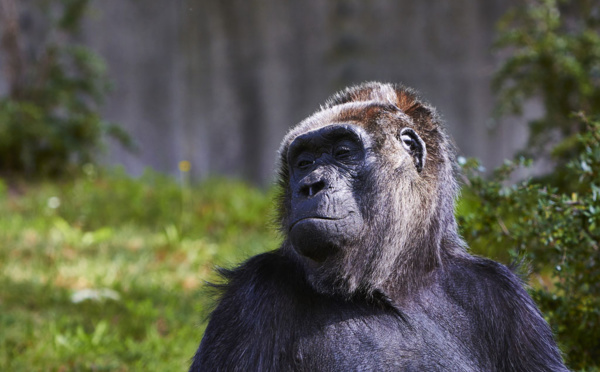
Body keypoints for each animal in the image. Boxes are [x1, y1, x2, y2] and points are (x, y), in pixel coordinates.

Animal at [189, 83, 568, 370]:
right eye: (304, 163)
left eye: (343, 153)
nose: (309, 185)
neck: (396, 280)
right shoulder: (251, 295)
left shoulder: (504, 294)